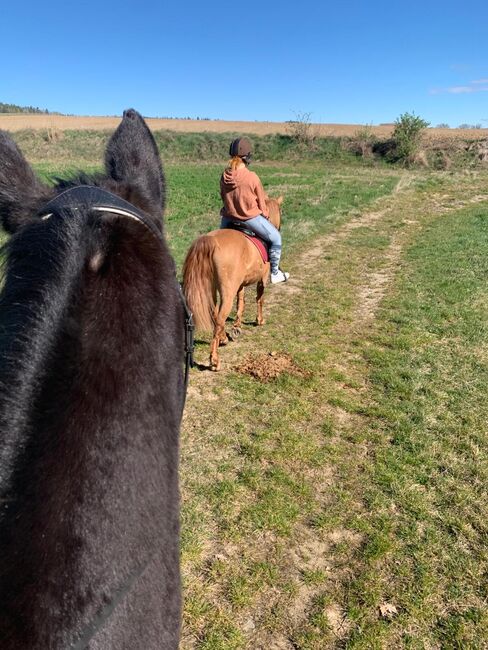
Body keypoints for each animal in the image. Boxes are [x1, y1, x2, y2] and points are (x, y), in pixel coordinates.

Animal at [182, 196, 282, 370]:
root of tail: (211, 240)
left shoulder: (240, 284)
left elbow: (240, 302)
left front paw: (237, 325)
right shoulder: (262, 279)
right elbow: (259, 299)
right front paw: (259, 320)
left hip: (212, 289)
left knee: (215, 314)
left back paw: (223, 338)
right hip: (226, 291)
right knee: (219, 319)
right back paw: (214, 360)